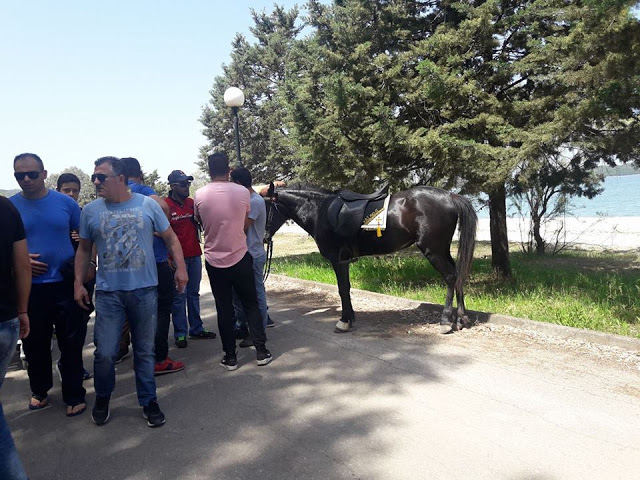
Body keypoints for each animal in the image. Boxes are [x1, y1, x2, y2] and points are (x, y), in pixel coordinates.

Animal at [262, 184, 478, 334]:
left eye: (263, 207)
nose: (263, 238)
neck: (321, 210)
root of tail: (450, 196)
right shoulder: (344, 261)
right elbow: (346, 289)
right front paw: (349, 318)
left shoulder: (338, 260)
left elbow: (342, 289)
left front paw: (344, 321)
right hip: (442, 250)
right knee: (458, 275)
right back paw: (461, 319)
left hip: (433, 250)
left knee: (450, 277)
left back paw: (445, 321)